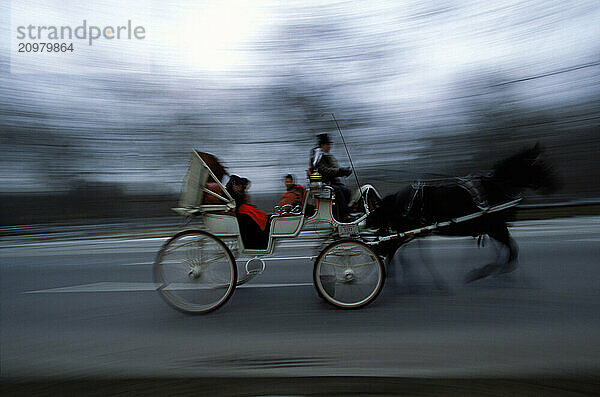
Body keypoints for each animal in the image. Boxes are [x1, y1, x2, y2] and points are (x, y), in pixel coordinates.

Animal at [366, 142, 556, 282]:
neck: (495, 188)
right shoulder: (495, 227)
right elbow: (512, 250)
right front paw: (483, 272)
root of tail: (397, 195)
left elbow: (509, 249)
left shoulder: (494, 229)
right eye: (539, 166)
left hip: (408, 231)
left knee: (392, 249)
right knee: (390, 248)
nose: (554, 185)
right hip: (405, 231)